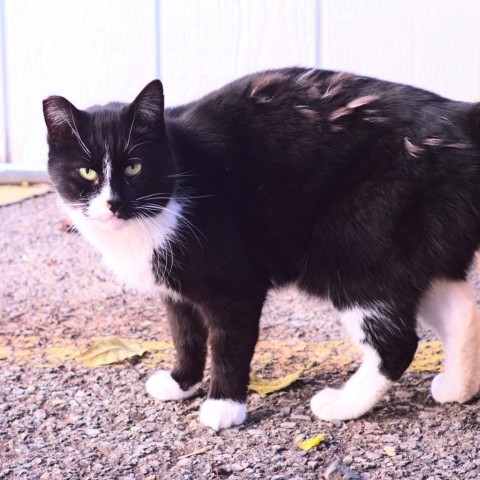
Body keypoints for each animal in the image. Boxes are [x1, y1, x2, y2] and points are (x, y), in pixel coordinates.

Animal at [42, 65, 480, 430]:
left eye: (134, 166)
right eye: (87, 172)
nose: (113, 204)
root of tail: (458, 114)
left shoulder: (236, 285)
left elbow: (228, 344)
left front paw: (224, 406)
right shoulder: (175, 293)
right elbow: (185, 334)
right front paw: (181, 383)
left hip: (355, 246)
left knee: (396, 342)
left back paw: (341, 406)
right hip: (418, 247)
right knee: (463, 312)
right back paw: (455, 389)